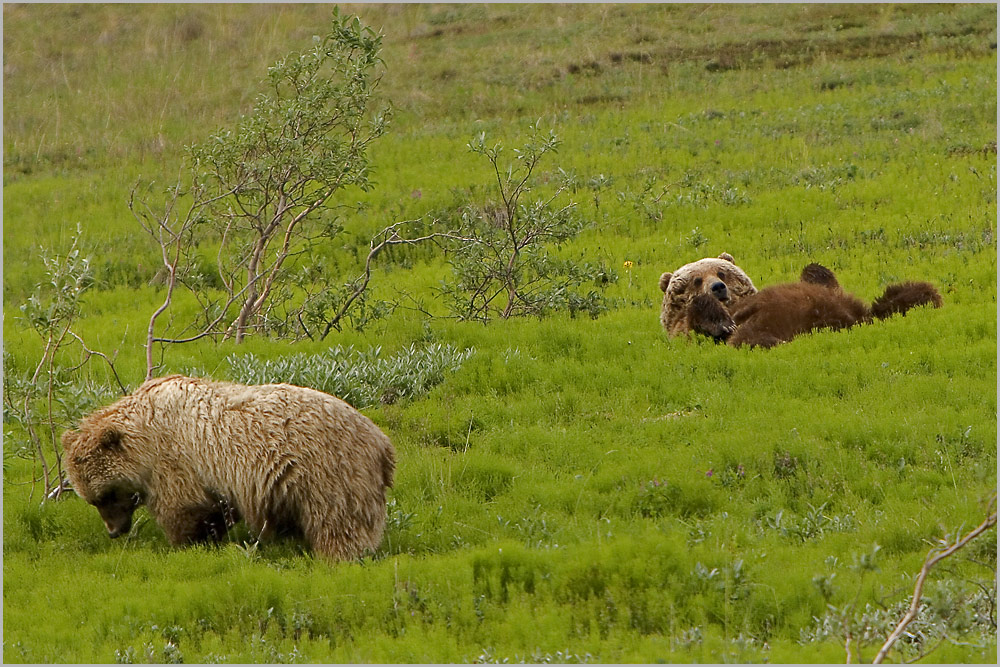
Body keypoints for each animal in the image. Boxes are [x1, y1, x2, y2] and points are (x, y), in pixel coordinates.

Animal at [59, 378, 398, 560]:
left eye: (106, 495)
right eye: (92, 500)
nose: (114, 531)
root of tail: (382, 443)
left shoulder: (175, 461)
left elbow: (183, 508)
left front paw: (186, 543)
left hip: (329, 472)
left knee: (339, 522)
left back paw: (340, 554)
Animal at [660, 253, 940, 350]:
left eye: (721, 273)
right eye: (696, 280)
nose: (718, 287)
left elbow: (818, 275)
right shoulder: (684, 331)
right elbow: (698, 326)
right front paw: (721, 322)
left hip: (865, 312)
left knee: (891, 301)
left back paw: (925, 297)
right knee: (750, 339)